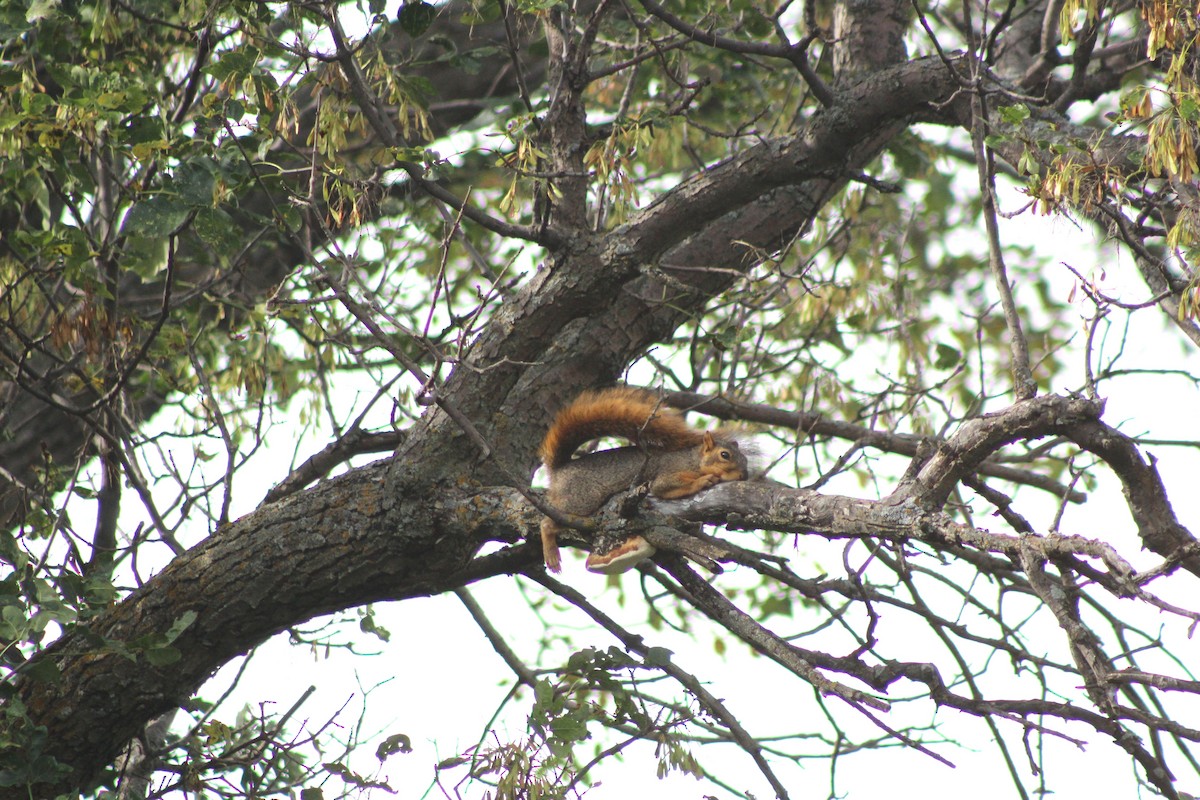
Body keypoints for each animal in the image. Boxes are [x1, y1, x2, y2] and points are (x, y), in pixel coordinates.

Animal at [538, 387, 748, 573]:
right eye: (724, 455)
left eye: (745, 459)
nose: (744, 476)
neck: (693, 461)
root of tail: (559, 470)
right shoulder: (667, 474)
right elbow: (665, 487)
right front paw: (705, 480)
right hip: (581, 499)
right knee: (547, 522)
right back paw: (551, 553)